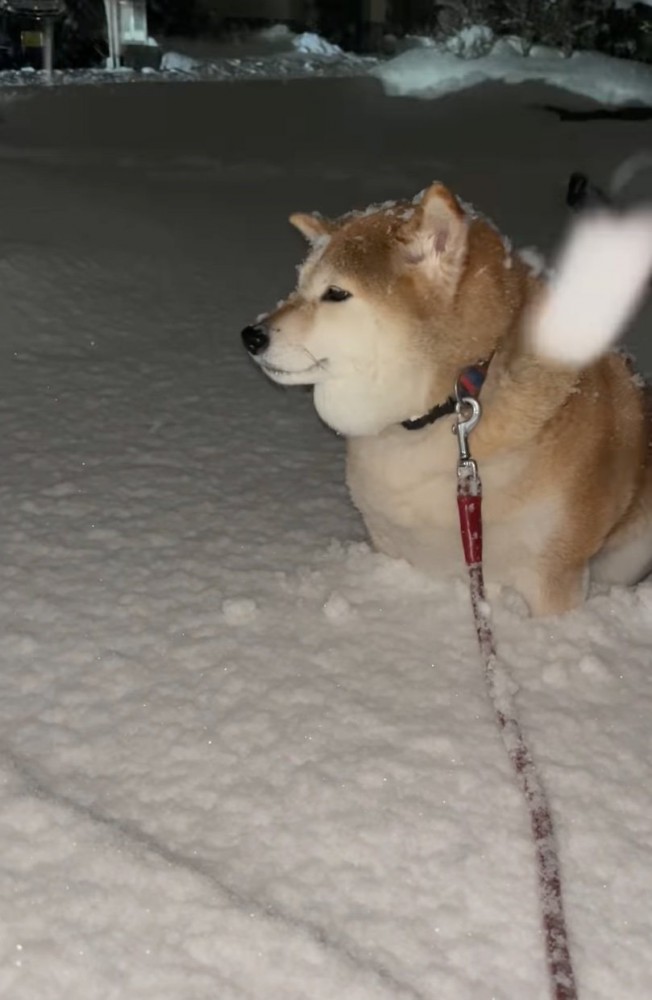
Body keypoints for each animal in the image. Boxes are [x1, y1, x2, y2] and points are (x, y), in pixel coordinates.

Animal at [242, 183, 648, 612]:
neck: (441, 411)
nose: (251, 335)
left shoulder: (554, 571)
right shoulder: (391, 546)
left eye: (336, 293)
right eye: (300, 285)